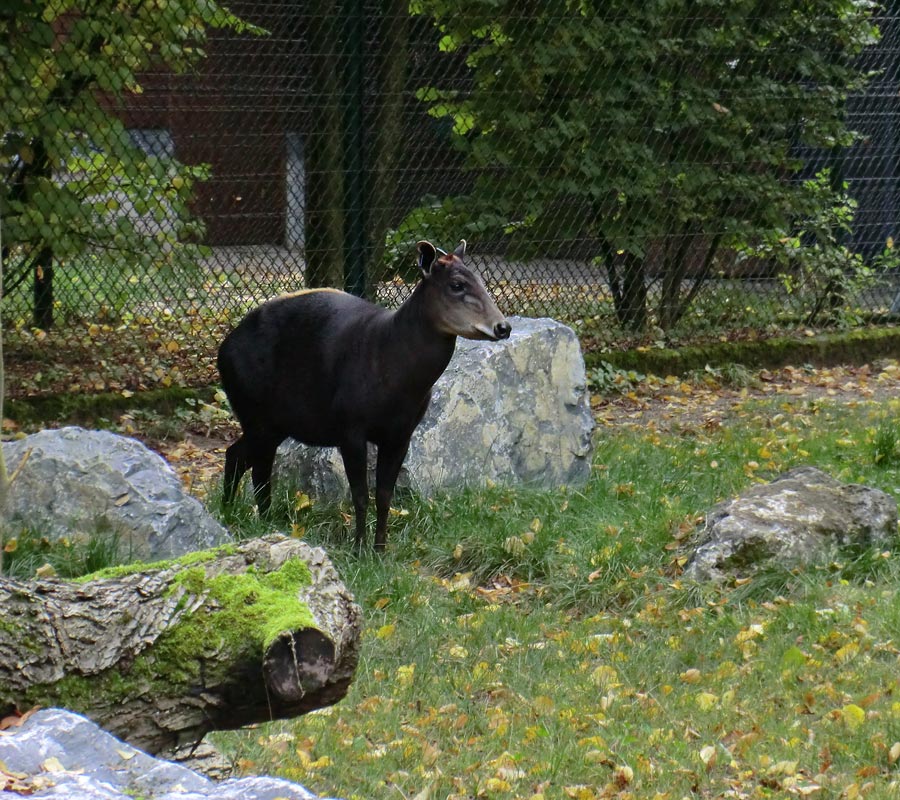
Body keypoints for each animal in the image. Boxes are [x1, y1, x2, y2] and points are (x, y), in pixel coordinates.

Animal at [218, 238, 510, 552]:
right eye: (457, 284)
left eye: (481, 280)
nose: (503, 327)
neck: (393, 366)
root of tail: (223, 350)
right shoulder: (350, 429)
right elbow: (359, 495)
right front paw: (358, 548)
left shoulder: (401, 435)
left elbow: (384, 496)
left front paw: (380, 550)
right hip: (255, 414)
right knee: (245, 461)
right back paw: (239, 517)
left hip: (273, 424)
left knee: (249, 461)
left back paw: (254, 517)